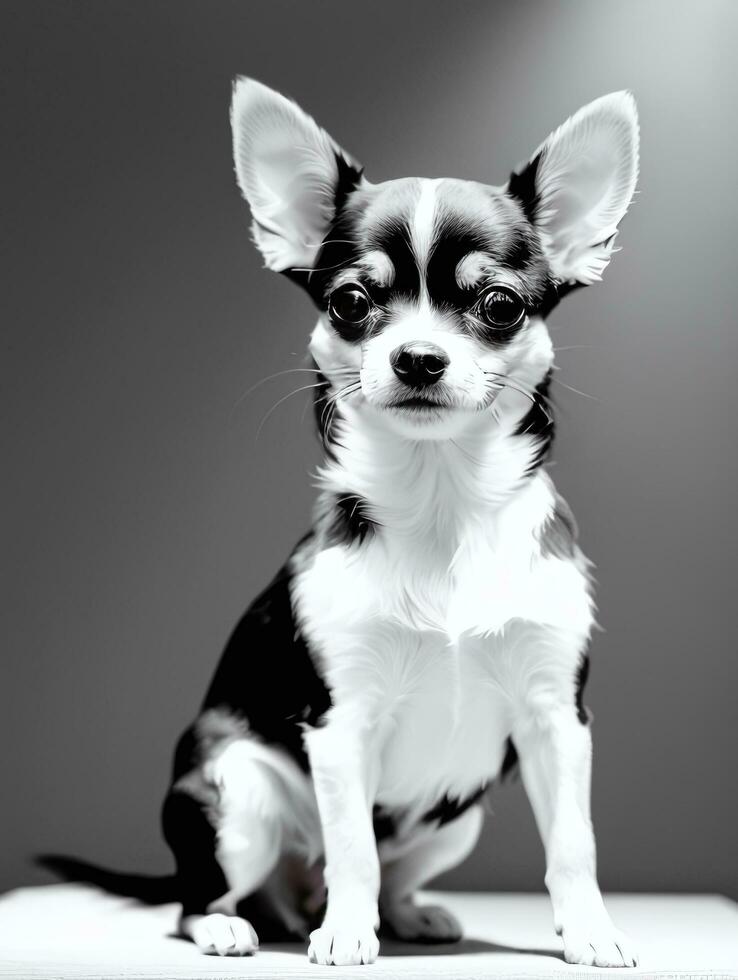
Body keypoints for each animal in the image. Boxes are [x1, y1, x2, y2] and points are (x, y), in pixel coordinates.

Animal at [161, 76, 640, 964]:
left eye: (499, 306)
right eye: (351, 303)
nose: (418, 357)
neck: (442, 500)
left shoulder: (557, 720)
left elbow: (573, 842)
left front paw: (590, 930)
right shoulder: (339, 724)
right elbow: (353, 843)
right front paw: (349, 933)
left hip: (461, 820)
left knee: (392, 871)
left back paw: (410, 913)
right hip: (234, 794)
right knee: (203, 893)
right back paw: (234, 923)